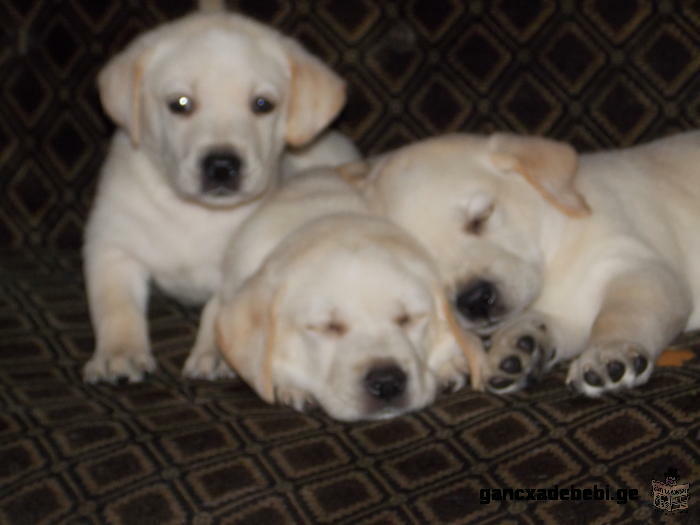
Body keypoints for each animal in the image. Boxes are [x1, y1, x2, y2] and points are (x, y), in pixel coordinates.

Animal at [82, 11, 356, 380]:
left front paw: (215, 355)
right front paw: (119, 353)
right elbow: (115, 306)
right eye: (180, 104)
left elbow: (218, 312)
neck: (196, 212)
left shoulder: (243, 265)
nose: (222, 166)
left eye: (262, 104)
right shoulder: (112, 248)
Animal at [342, 132, 700, 398]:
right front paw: (518, 348)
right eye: (424, 258)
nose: (474, 301)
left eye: (481, 218)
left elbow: (623, 313)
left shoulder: (640, 268)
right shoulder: (570, 315)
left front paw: (609, 351)